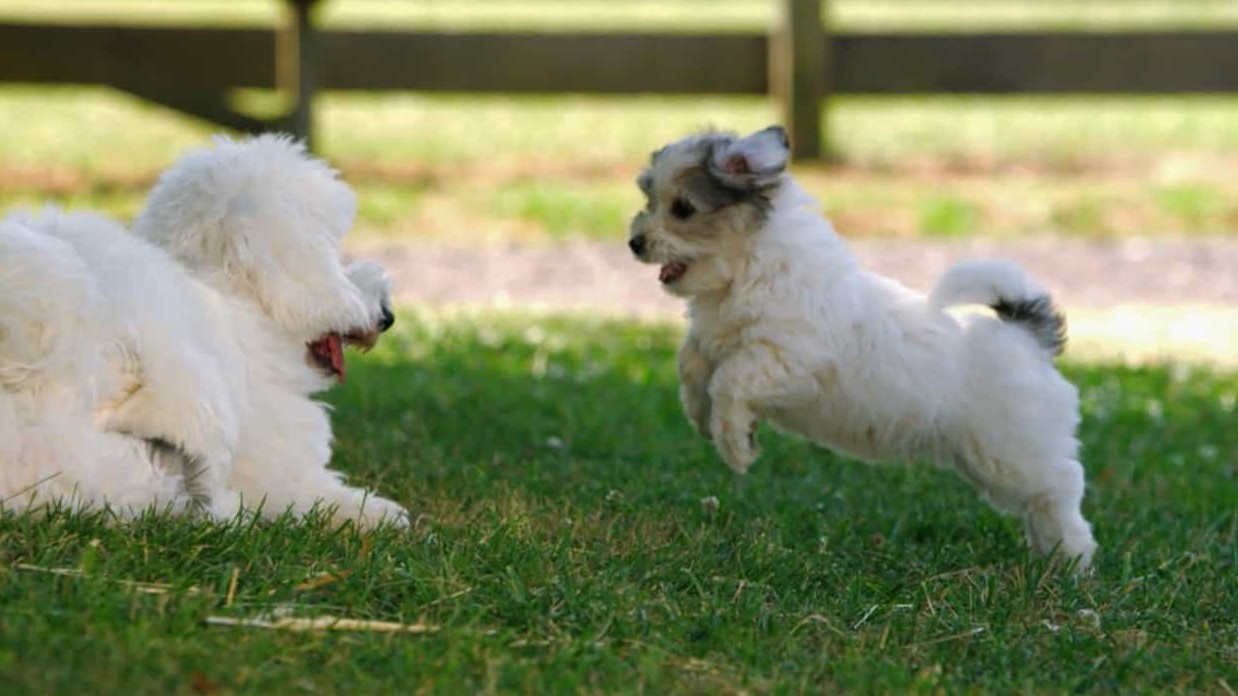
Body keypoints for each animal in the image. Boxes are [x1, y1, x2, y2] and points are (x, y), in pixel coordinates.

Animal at [633, 125, 1099, 569]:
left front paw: (735, 447)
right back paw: (1048, 559)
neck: (743, 268)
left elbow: (729, 381)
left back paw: (1073, 562)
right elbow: (692, 362)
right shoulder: (714, 340)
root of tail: (1026, 337)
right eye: (649, 199)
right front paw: (701, 416)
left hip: (1013, 453)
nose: (634, 242)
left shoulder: (787, 358)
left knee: (1059, 491)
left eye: (682, 209)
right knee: (1039, 506)